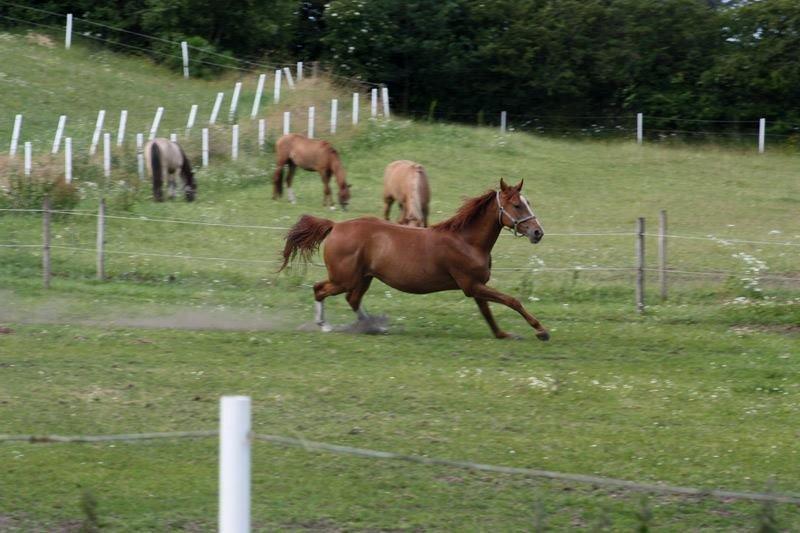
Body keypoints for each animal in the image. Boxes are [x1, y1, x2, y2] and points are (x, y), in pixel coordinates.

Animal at [282, 177, 552, 338]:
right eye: (517, 205)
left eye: (527, 202)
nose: (538, 232)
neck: (466, 241)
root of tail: (336, 226)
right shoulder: (471, 285)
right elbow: (512, 300)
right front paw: (541, 331)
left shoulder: (476, 286)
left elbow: (488, 312)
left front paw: (504, 335)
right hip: (344, 278)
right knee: (319, 289)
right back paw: (326, 326)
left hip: (364, 277)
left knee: (353, 299)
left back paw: (373, 326)